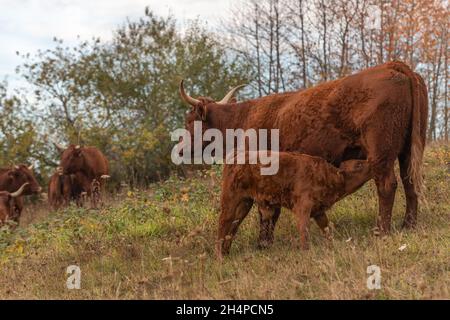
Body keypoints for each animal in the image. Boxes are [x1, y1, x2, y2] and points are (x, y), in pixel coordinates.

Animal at [179, 60, 428, 240]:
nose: (180, 150)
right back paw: (409, 225)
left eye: (189, 121)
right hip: (408, 150)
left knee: (387, 185)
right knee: (409, 182)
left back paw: (381, 230)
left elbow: (266, 212)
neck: (242, 119)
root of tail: (391, 65)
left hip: (380, 152)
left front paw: (264, 242)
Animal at [216, 152, 370, 258]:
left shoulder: (318, 211)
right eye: (358, 165)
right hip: (231, 200)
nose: (370, 161)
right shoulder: (303, 208)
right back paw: (220, 257)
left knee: (233, 226)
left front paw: (332, 245)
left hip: (245, 203)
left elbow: (326, 228)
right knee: (224, 223)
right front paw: (306, 251)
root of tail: (235, 157)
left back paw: (226, 253)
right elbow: (304, 230)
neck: (328, 175)